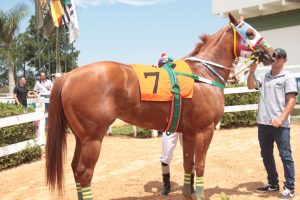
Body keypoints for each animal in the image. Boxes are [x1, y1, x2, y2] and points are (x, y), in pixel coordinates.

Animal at [46, 13, 274, 199]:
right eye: (250, 32)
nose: (272, 53)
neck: (203, 74)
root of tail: (67, 76)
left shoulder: (189, 132)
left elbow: (188, 164)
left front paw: (188, 193)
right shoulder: (204, 130)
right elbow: (200, 165)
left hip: (80, 137)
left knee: (75, 168)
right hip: (93, 139)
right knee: (84, 172)